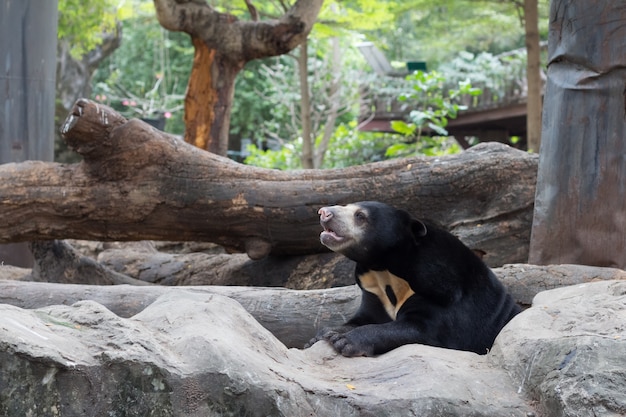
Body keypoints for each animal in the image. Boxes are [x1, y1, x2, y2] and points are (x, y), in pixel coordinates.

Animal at [304, 201, 520, 354]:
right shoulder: (373, 292)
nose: (323, 212)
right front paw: (323, 335)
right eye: (345, 205)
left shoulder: (439, 288)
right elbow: (363, 318)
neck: (385, 269)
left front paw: (345, 341)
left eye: (360, 216)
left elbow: (421, 328)